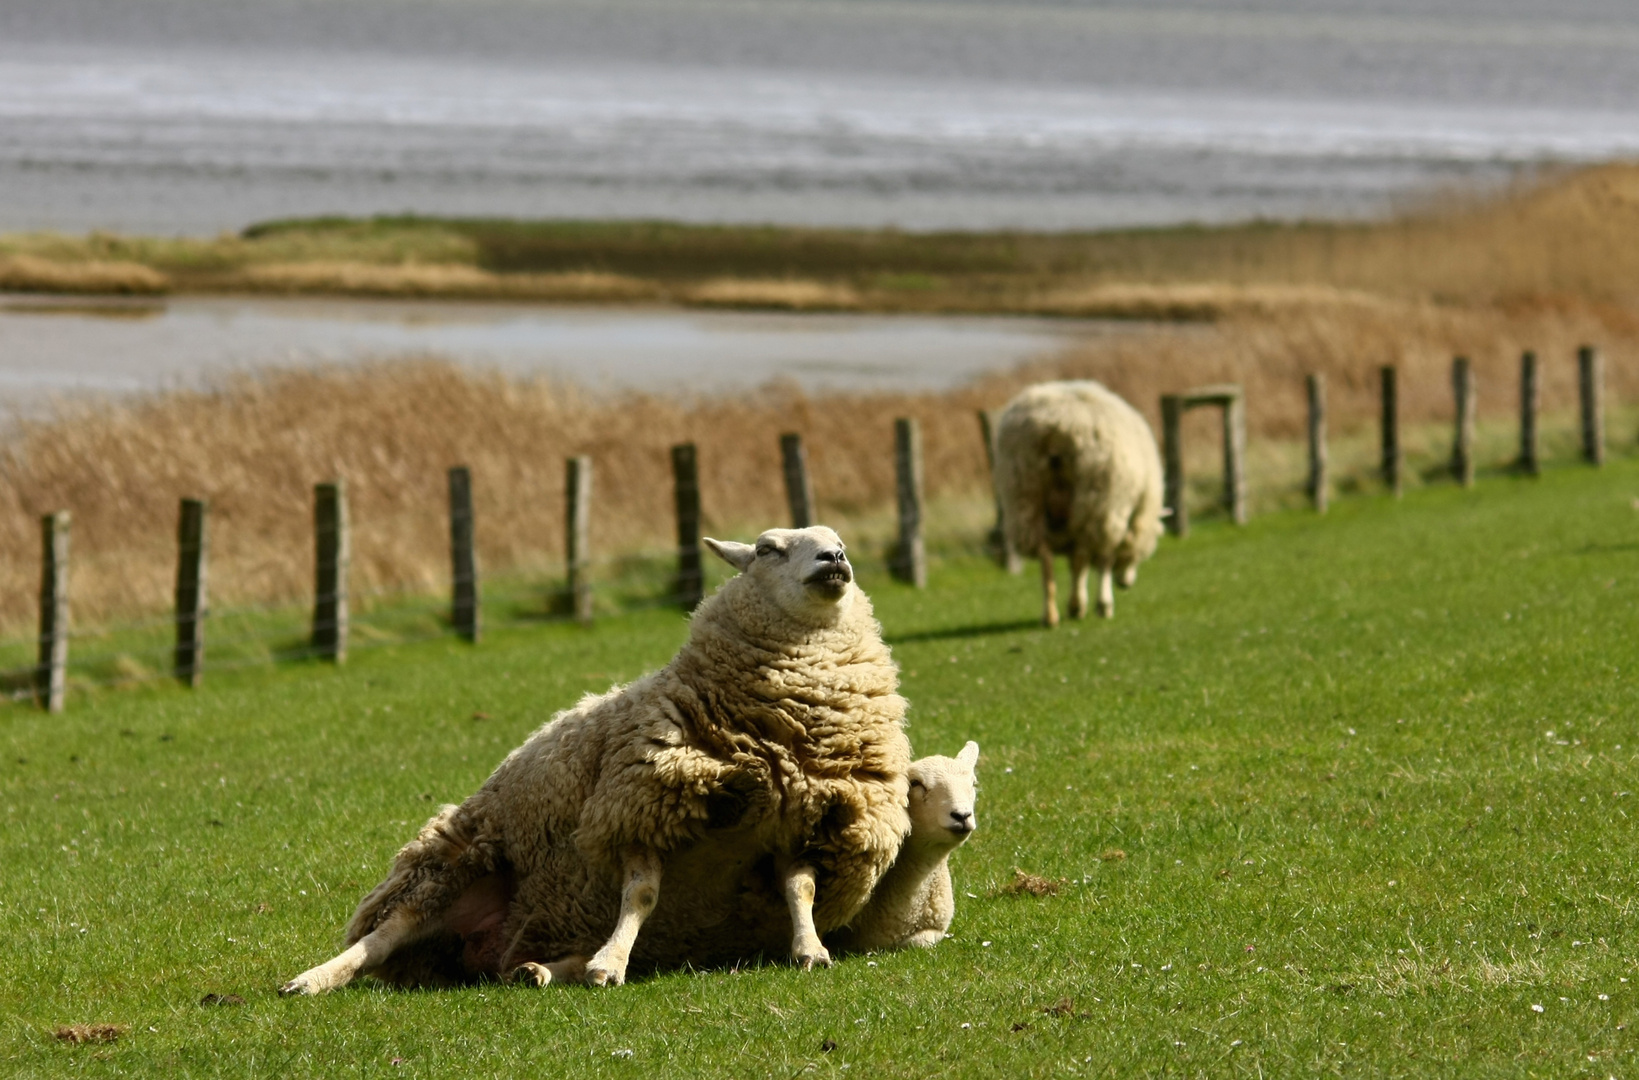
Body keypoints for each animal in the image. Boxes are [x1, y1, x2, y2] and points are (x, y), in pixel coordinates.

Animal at [278, 524, 911, 996]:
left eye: (839, 541)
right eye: (765, 548)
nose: (835, 558)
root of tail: (487, 949)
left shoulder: (806, 819)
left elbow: (798, 891)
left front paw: (810, 949)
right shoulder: (637, 805)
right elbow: (641, 896)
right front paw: (611, 965)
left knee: (520, 958)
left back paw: (540, 969)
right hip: (451, 865)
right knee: (381, 939)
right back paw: (313, 979)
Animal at [996, 385, 1166, 629]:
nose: (1126, 584)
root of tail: (1053, 429)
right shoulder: (1111, 512)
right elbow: (1103, 561)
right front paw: (1104, 605)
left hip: (1024, 494)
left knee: (1046, 557)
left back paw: (1051, 615)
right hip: (1094, 499)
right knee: (1079, 558)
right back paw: (1076, 606)